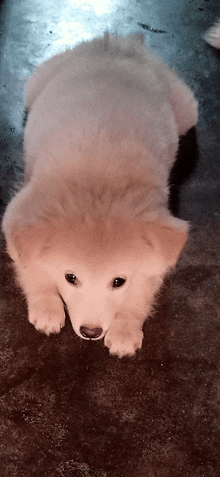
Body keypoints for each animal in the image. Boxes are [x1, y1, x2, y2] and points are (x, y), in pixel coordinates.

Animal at [1, 31, 198, 356]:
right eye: (70, 278)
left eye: (118, 281)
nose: (90, 332)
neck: (99, 184)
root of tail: (118, 42)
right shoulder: (17, 219)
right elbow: (31, 267)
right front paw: (46, 307)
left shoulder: (157, 254)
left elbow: (141, 293)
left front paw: (125, 329)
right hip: (34, 85)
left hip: (186, 110)